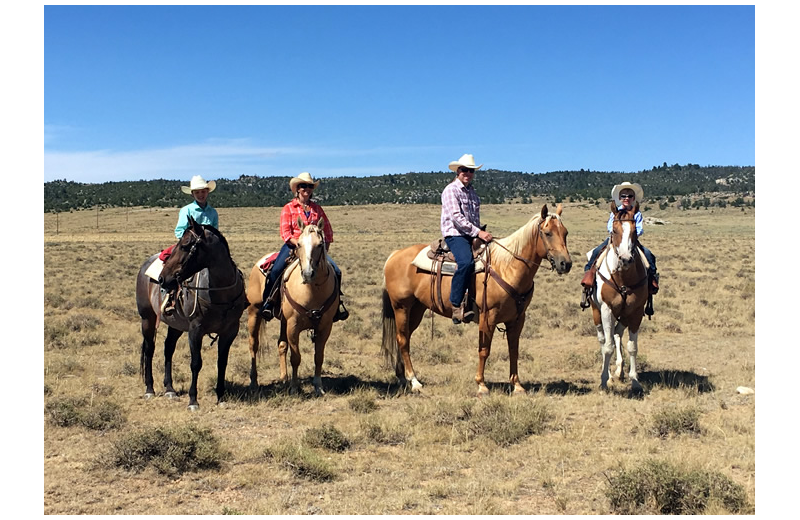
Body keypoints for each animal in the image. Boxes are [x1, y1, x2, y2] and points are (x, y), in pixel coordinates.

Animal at [135, 217, 247, 412]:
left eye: (186, 245)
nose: (163, 278)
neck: (220, 293)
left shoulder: (230, 331)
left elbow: (222, 362)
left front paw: (221, 396)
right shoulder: (196, 329)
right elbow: (196, 363)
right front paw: (193, 400)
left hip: (176, 324)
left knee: (168, 348)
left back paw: (170, 389)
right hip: (147, 319)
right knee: (150, 349)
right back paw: (150, 389)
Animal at [247, 217, 340, 396]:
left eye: (320, 244)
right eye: (299, 244)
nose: (308, 274)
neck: (312, 289)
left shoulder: (325, 326)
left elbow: (319, 356)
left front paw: (318, 386)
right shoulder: (293, 325)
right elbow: (296, 357)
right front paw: (294, 387)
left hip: (283, 320)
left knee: (281, 345)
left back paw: (284, 377)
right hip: (254, 313)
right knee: (253, 345)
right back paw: (254, 381)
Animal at [380, 205, 568, 396]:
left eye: (565, 233)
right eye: (547, 233)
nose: (565, 264)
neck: (507, 266)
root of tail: (394, 255)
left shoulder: (517, 319)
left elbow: (514, 350)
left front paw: (517, 385)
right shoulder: (488, 316)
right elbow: (484, 350)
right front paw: (481, 385)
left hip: (417, 308)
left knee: (404, 337)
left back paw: (402, 376)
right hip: (401, 307)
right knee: (402, 339)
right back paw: (414, 381)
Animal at [588, 201, 648, 392]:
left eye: (635, 231)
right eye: (614, 230)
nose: (626, 259)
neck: (623, 279)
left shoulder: (636, 312)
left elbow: (632, 347)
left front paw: (634, 380)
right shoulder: (607, 310)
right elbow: (607, 347)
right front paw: (604, 380)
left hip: (624, 315)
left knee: (617, 333)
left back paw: (619, 370)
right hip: (596, 311)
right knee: (603, 339)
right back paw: (607, 372)